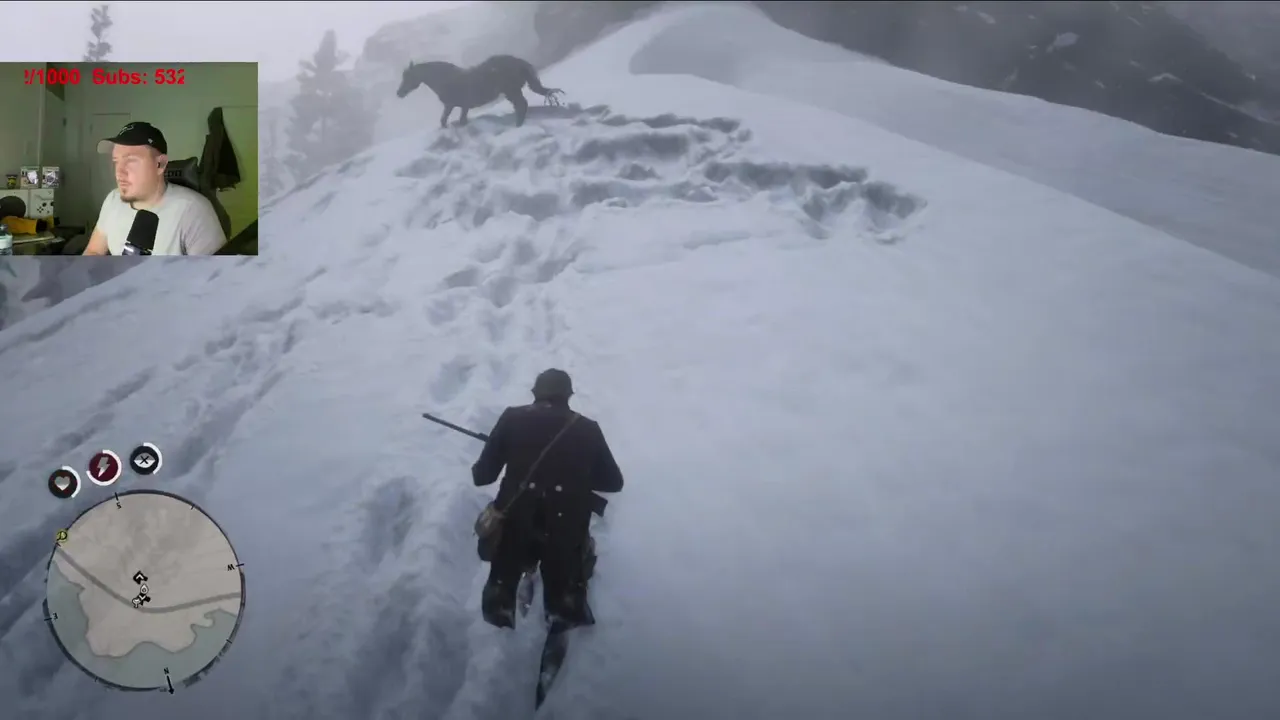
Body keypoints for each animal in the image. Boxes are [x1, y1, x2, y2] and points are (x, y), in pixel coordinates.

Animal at [396, 55, 565, 128]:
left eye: (408, 76)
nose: (399, 93)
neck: (445, 79)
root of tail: (519, 61)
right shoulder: (463, 107)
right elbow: (461, 120)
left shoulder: (450, 105)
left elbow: (444, 120)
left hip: (511, 91)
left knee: (521, 105)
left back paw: (517, 125)